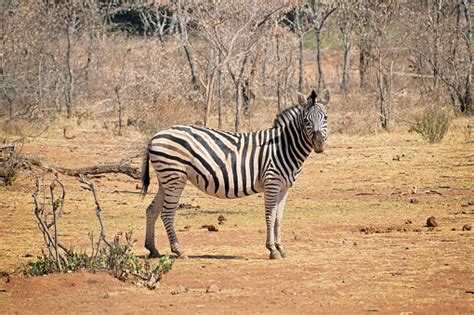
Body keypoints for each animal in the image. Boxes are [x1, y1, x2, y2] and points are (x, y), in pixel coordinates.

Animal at [141, 89, 330, 260]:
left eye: (326, 118)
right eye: (306, 120)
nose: (319, 144)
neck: (284, 146)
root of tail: (155, 136)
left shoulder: (284, 187)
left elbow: (279, 218)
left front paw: (281, 248)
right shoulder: (272, 182)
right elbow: (270, 216)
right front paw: (272, 250)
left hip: (165, 179)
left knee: (152, 210)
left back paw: (153, 249)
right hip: (175, 176)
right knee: (167, 213)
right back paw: (179, 251)